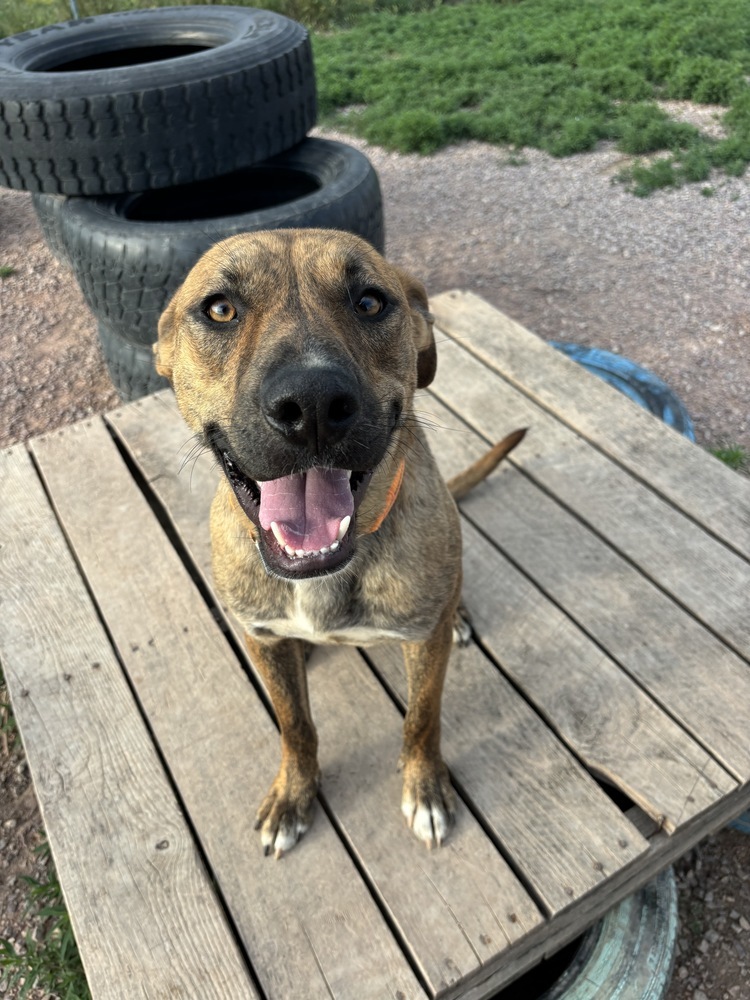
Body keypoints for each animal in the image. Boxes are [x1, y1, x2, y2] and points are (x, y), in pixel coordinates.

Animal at [156, 230, 524, 856]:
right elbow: (295, 726)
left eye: (370, 302)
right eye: (220, 309)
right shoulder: (262, 641)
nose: (312, 406)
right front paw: (293, 793)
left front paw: (424, 786)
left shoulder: (422, 646)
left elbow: (422, 717)